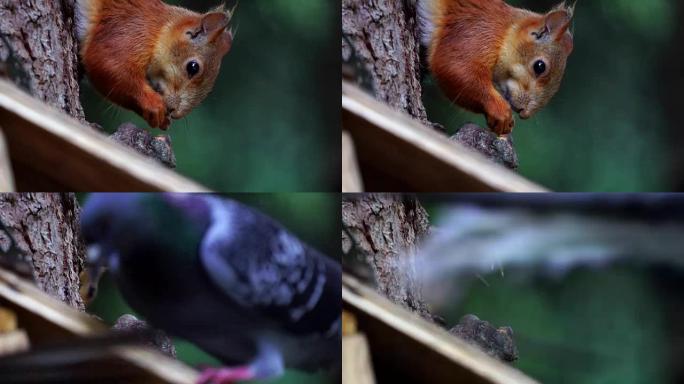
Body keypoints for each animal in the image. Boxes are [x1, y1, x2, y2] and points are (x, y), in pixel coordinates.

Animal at [75, 0, 234, 130]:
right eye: (193, 67)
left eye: (210, 90)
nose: (175, 113)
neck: (160, 28)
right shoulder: (129, 31)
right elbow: (108, 64)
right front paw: (154, 104)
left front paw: (161, 119)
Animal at [420, 0, 576, 136]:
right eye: (539, 66)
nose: (524, 113)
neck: (505, 30)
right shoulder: (476, 31)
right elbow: (455, 66)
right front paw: (501, 112)